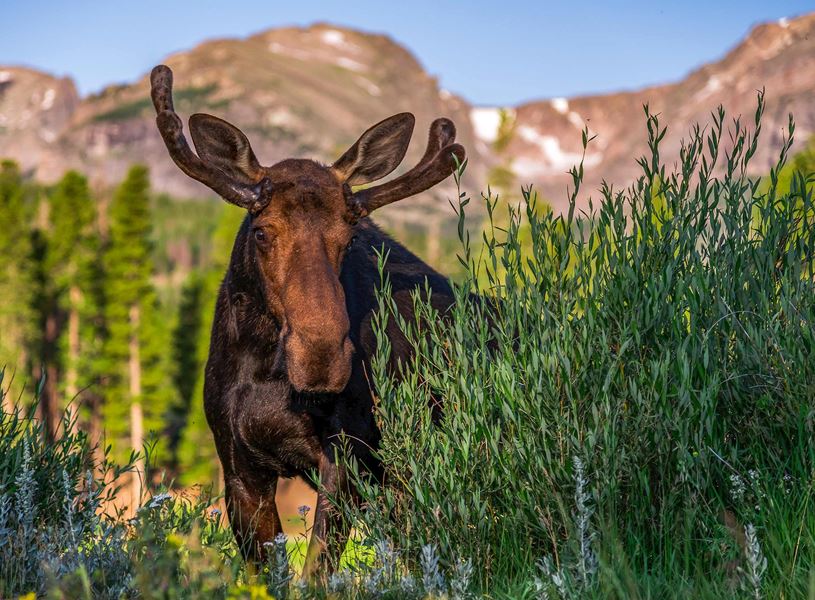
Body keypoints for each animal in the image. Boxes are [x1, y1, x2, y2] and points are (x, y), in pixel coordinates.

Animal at [150, 65, 466, 578]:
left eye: (350, 235)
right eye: (262, 231)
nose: (320, 357)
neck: (266, 371)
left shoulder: (350, 457)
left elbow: (317, 570)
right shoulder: (238, 466)